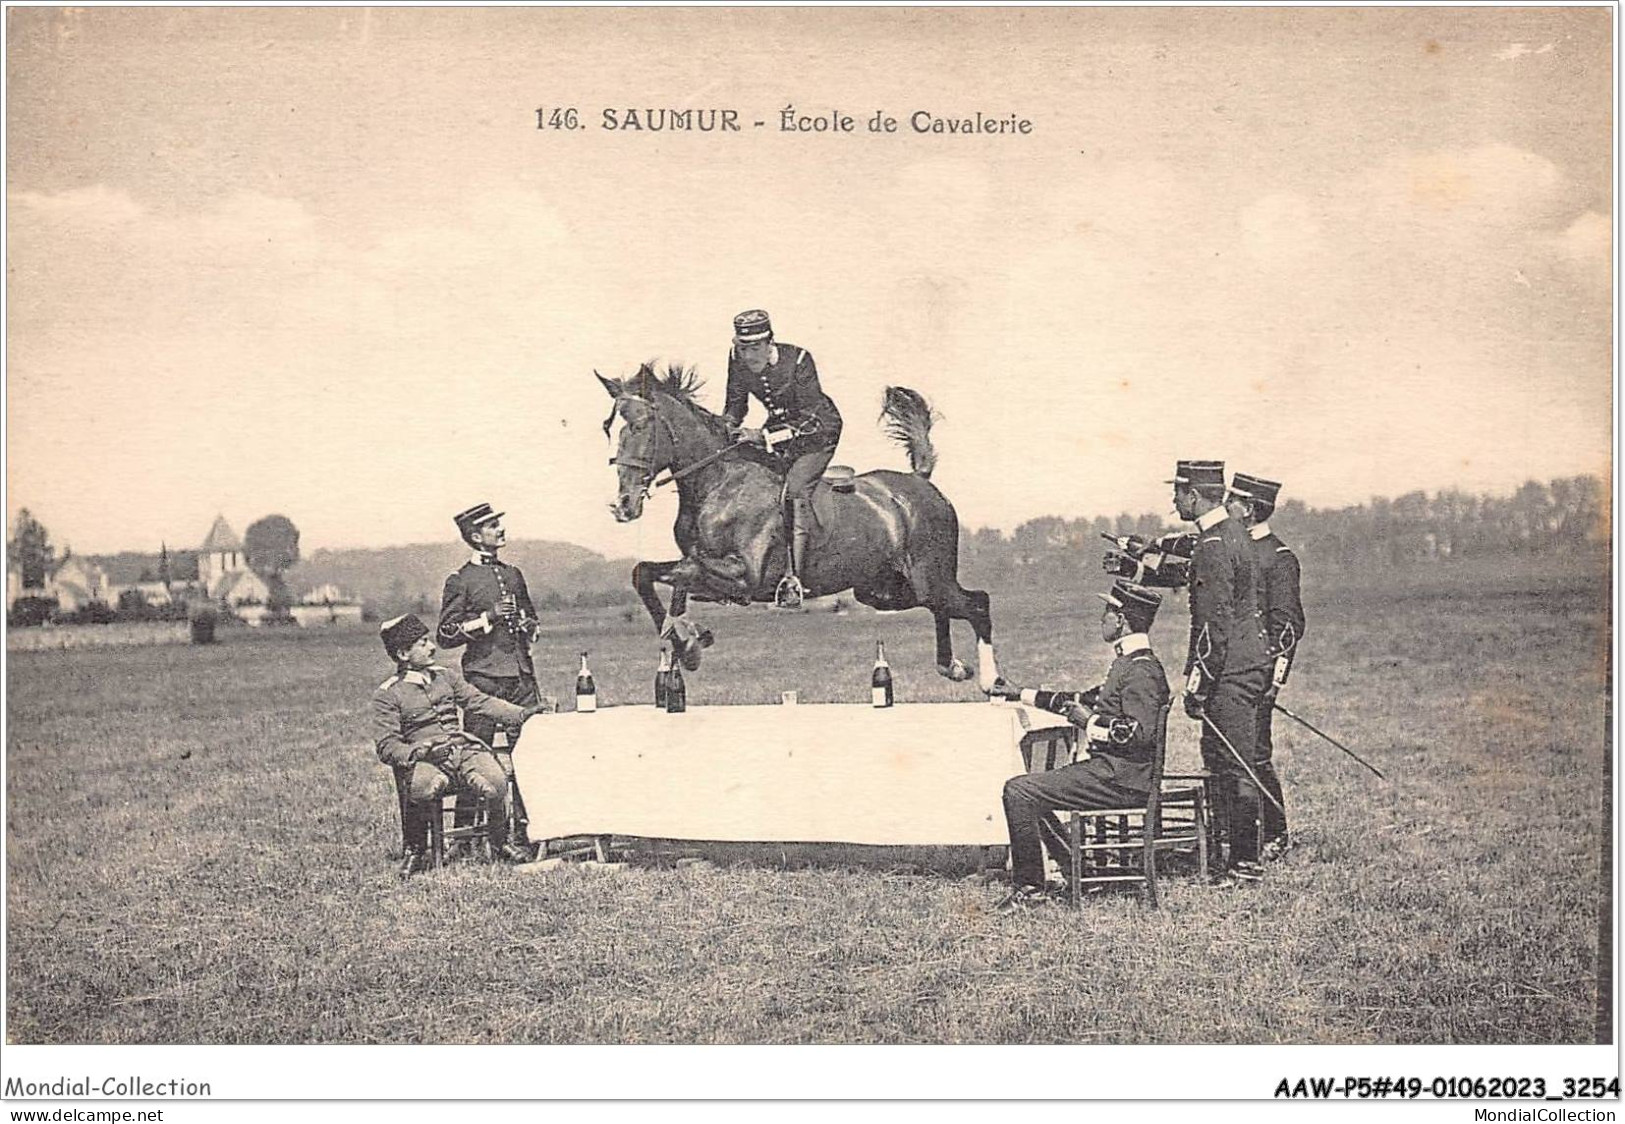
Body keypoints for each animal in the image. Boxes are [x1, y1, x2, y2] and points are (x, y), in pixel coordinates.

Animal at [598, 363, 1001, 688]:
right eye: (608, 428)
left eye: (640, 425)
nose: (623, 505)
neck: (720, 481)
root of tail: (920, 481)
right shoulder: (695, 562)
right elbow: (648, 574)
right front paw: (687, 642)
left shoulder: (745, 576)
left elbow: (677, 577)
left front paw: (689, 642)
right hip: (884, 591)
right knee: (942, 608)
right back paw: (953, 666)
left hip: (927, 578)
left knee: (977, 603)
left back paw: (992, 681)